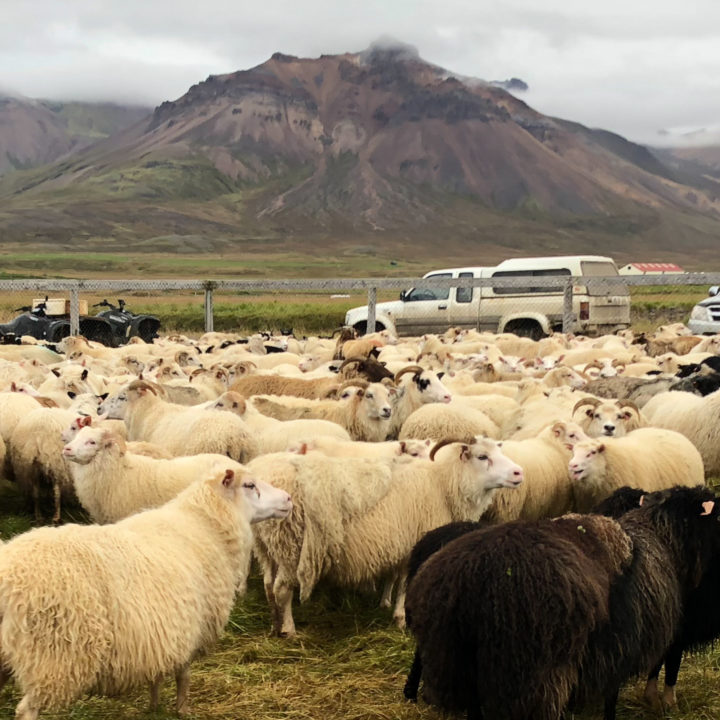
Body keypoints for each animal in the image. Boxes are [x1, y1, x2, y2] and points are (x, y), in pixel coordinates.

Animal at [0, 466, 292, 719]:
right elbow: (183, 676)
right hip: (54, 656)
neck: (205, 526)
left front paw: (154, 707)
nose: (288, 498)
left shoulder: (161, 631)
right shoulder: (193, 627)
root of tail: (9, 575)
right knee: (26, 710)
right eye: (249, 485)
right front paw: (182, 709)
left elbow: (157, 676)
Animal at [250, 437, 523, 636]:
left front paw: (386, 603)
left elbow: (394, 578)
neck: (442, 483)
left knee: (268, 585)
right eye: (482, 456)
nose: (518, 473)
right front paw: (401, 617)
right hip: (290, 546)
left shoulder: (400, 544)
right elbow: (405, 583)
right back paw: (289, 630)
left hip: (267, 546)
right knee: (282, 588)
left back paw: (274, 624)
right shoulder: (415, 544)